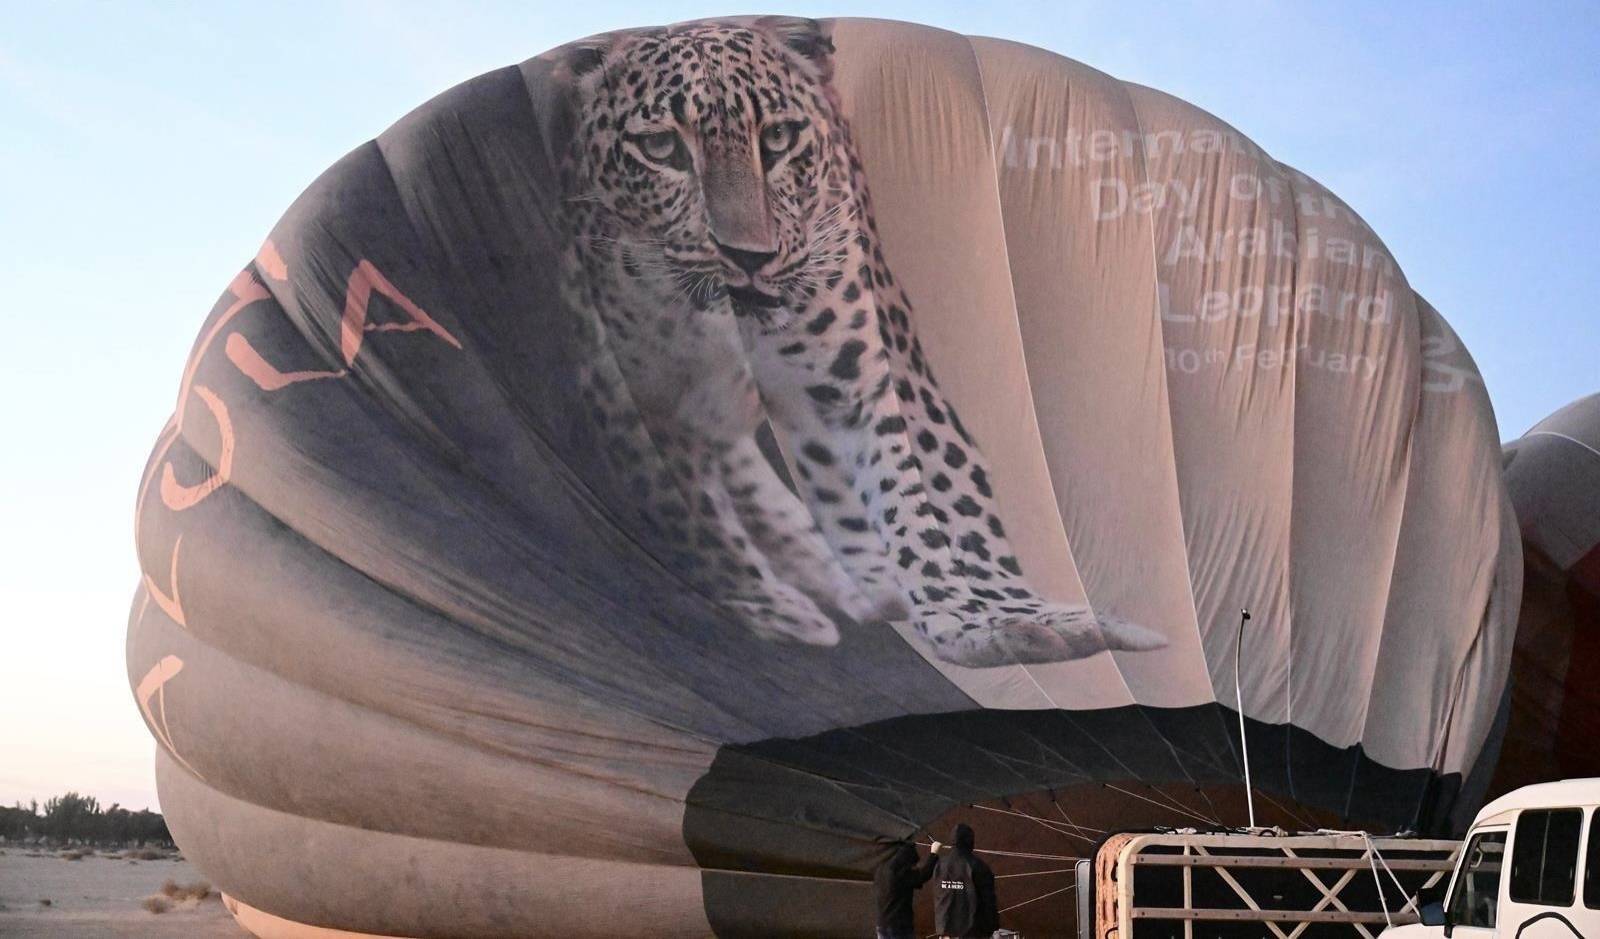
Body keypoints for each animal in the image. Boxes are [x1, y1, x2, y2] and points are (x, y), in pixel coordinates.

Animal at [549, 17, 1166, 667]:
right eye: (663, 148)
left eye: (778, 138)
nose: (749, 257)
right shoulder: (629, 389)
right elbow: (688, 507)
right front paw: (767, 603)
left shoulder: (872, 384)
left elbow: (926, 496)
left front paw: (983, 615)